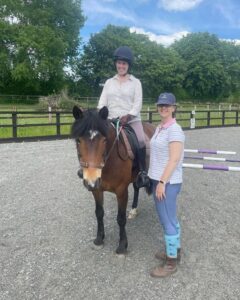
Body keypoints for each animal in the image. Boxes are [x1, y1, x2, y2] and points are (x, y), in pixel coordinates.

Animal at [71, 106, 155, 254]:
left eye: (104, 140)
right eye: (78, 140)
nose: (90, 179)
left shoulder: (121, 191)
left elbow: (120, 218)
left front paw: (122, 245)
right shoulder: (97, 189)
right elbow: (99, 213)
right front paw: (99, 239)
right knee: (136, 187)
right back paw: (133, 209)